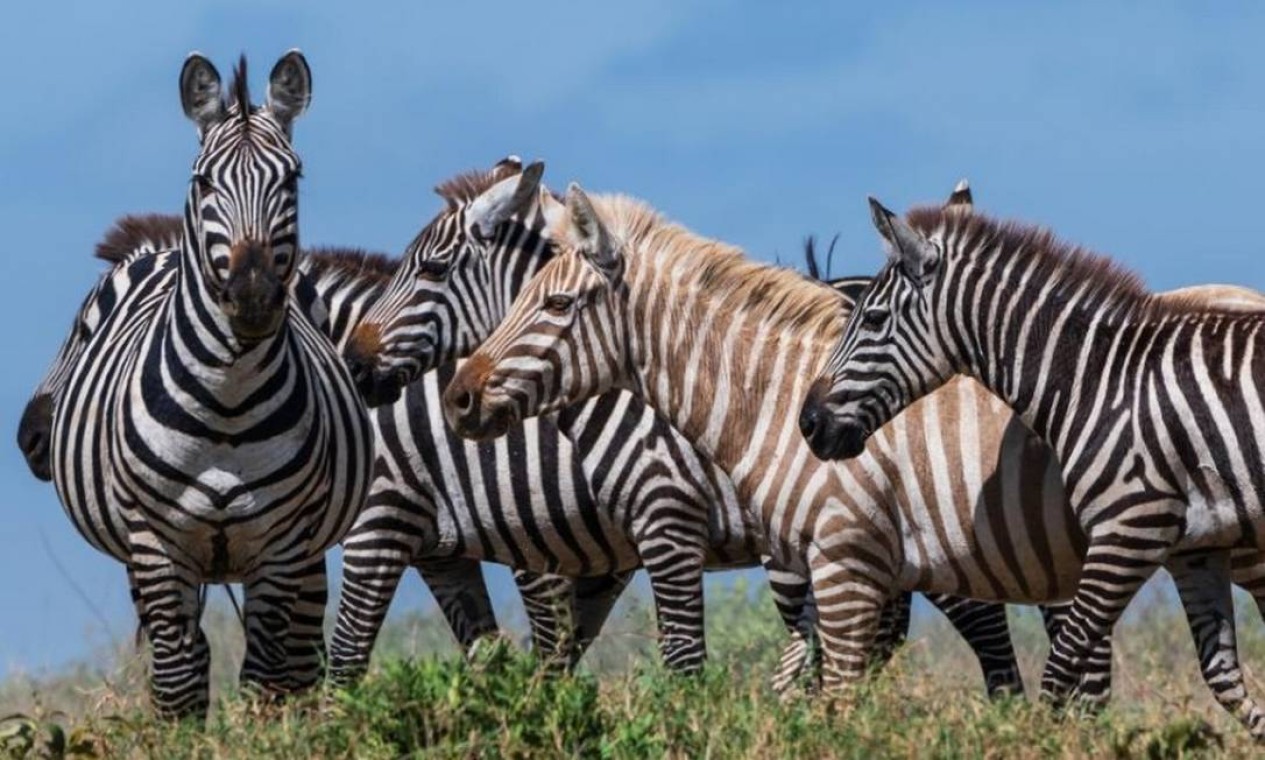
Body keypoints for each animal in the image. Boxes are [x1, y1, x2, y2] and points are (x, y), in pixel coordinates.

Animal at [46, 53, 371, 718]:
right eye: (203, 183)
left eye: (292, 180)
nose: (252, 298)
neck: (228, 400)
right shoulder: (155, 543)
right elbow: (178, 680)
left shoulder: (282, 545)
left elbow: (267, 678)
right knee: (190, 655)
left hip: (305, 550)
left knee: (301, 656)